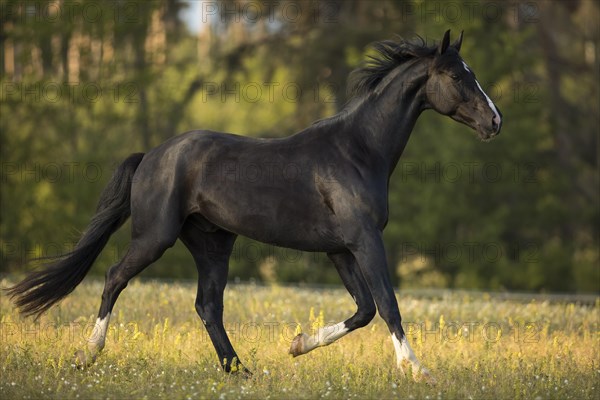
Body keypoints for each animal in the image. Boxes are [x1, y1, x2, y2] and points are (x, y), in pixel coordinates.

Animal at [7, 31, 502, 382]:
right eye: (457, 76)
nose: (495, 121)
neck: (357, 151)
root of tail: (151, 156)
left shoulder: (340, 248)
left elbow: (363, 310)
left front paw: (297, 344)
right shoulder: (364, 241)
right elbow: (387, 304)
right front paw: (418, 370)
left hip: (212, 244)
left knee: (208, 306)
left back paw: (240, 371)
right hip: (155, 237)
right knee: (114, 278)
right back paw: (87, 356)